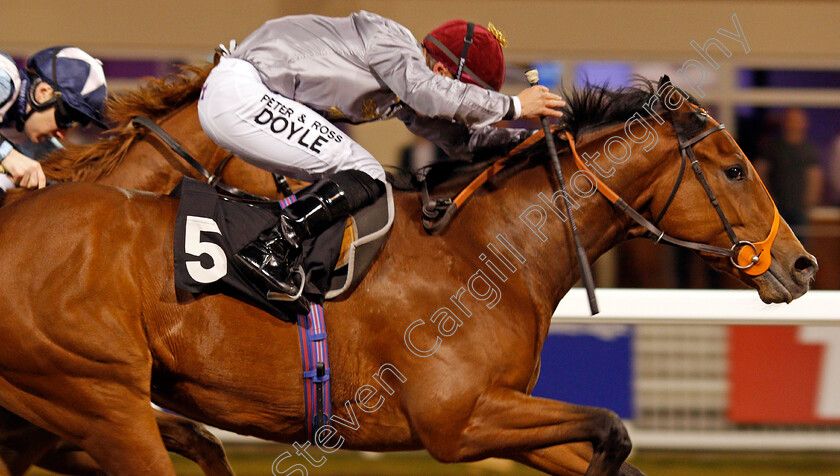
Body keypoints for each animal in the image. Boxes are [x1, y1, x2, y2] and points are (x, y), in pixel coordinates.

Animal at [0, 76, 816, 474]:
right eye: (735, 168)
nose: (801, 264)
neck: (489, 253)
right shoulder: (458, 420)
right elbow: (612, 430)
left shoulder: (500, 412)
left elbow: (608, 443)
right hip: (101, 400)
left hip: (51, 409)